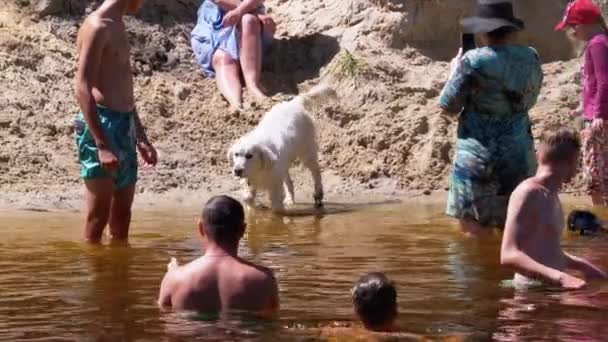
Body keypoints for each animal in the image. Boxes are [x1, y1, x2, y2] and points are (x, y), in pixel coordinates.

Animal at [227, 84, 334, 212]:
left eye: (249, 156)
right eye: (236, 154)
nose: (237, 170)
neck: (260, 169)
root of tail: (294, 103)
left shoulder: (275, 186)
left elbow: (276, 206)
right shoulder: (250, 184)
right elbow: (248, 199)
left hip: (306, 152)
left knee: (316, 171)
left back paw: (318, 193)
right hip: (286, 163)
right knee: (289, 181)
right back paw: (290, 199)